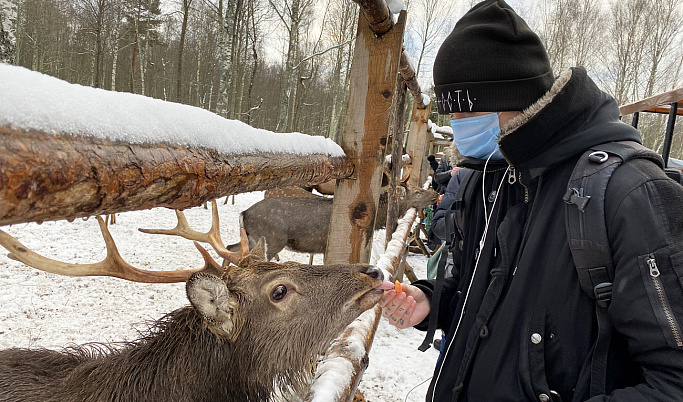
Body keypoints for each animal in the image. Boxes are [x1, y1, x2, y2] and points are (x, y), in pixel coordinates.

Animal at [227, 179, 436, 260]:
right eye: (417, 192)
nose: (435, 193)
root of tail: (244, 213)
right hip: (270, 239)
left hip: (251, 237)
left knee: (231, 249)